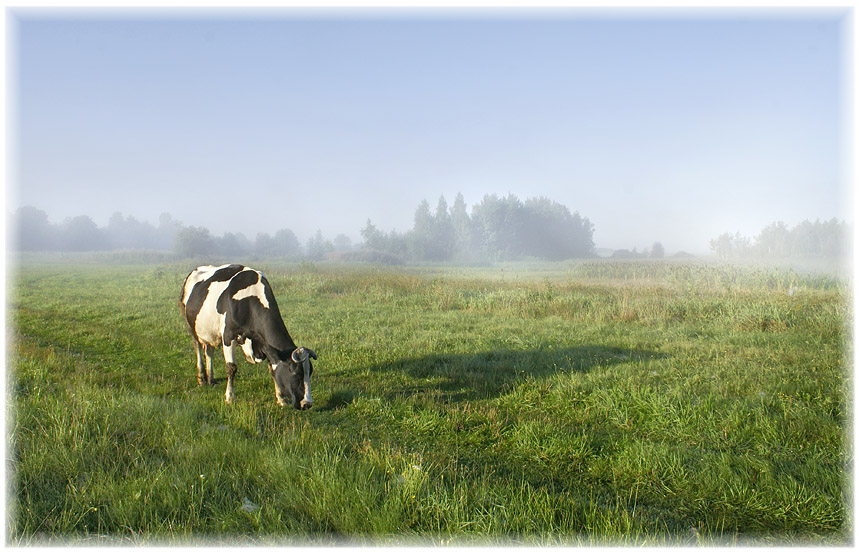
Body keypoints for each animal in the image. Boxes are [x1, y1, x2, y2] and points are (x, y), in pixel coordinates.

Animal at [180, 264, 318, 410]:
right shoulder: (228, 336)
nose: (307, 403)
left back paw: (211, 379)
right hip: (191, 327)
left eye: (310, 373)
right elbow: (231, 367)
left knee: (209, 351)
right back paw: (201, 379)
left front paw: (281, 399)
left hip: (209, 331)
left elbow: (272, 368)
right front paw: (230, 397)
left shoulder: (266, 345)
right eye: (296, 375)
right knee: (198, 348)